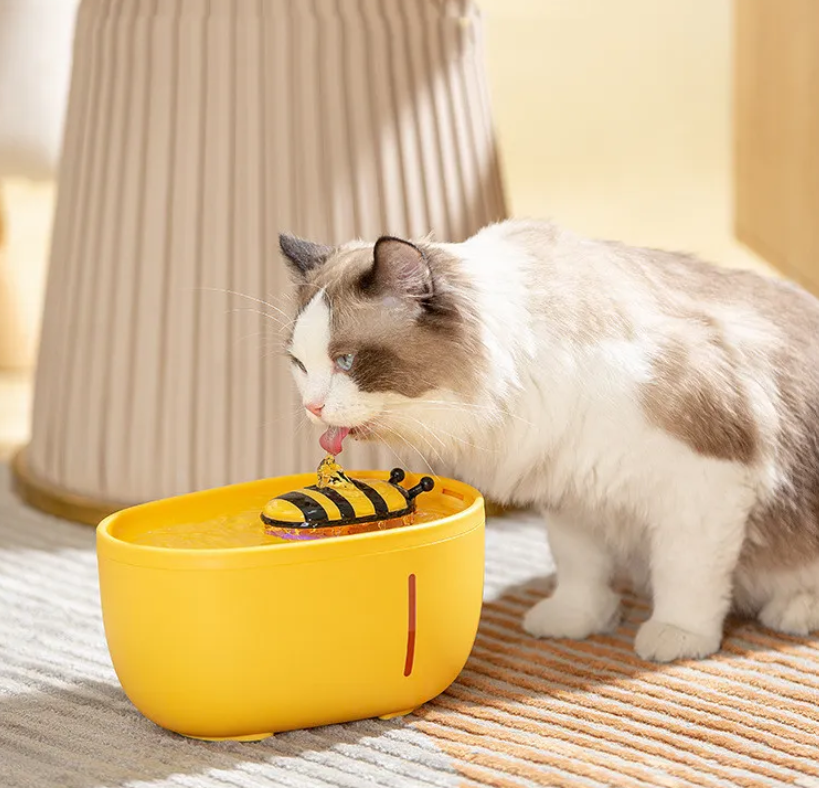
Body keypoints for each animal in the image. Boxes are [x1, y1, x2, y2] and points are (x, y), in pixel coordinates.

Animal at [278, 219, 819, 660]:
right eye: (300, 365)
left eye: (346, 361)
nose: (312, 407)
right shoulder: (570, 484)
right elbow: (579, 566)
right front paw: (577, 620)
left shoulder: (705, 481)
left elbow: (685, 574)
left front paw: (677, 636)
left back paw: (794, 610)